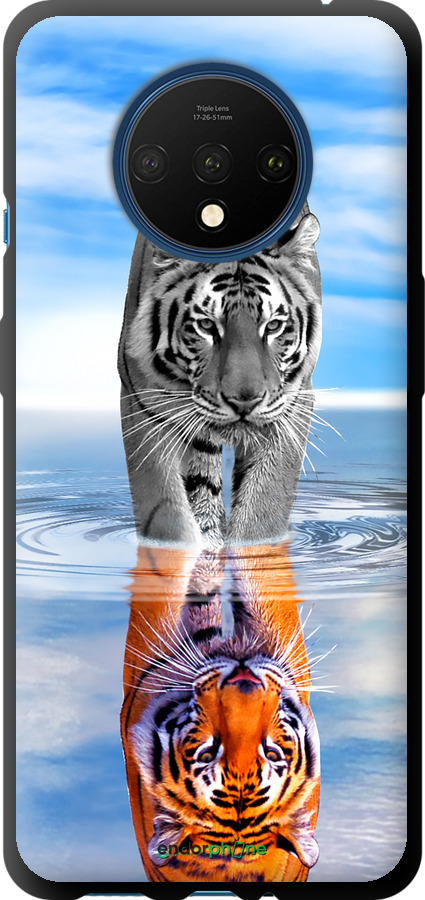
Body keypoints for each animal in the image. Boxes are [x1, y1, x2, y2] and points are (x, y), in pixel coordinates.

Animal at [118, 203, 321, 548]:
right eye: (206, 325)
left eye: (273, 326)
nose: (244, 402)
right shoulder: (144, 401)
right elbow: (168, 511)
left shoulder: (292, 406)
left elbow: (263, 507)